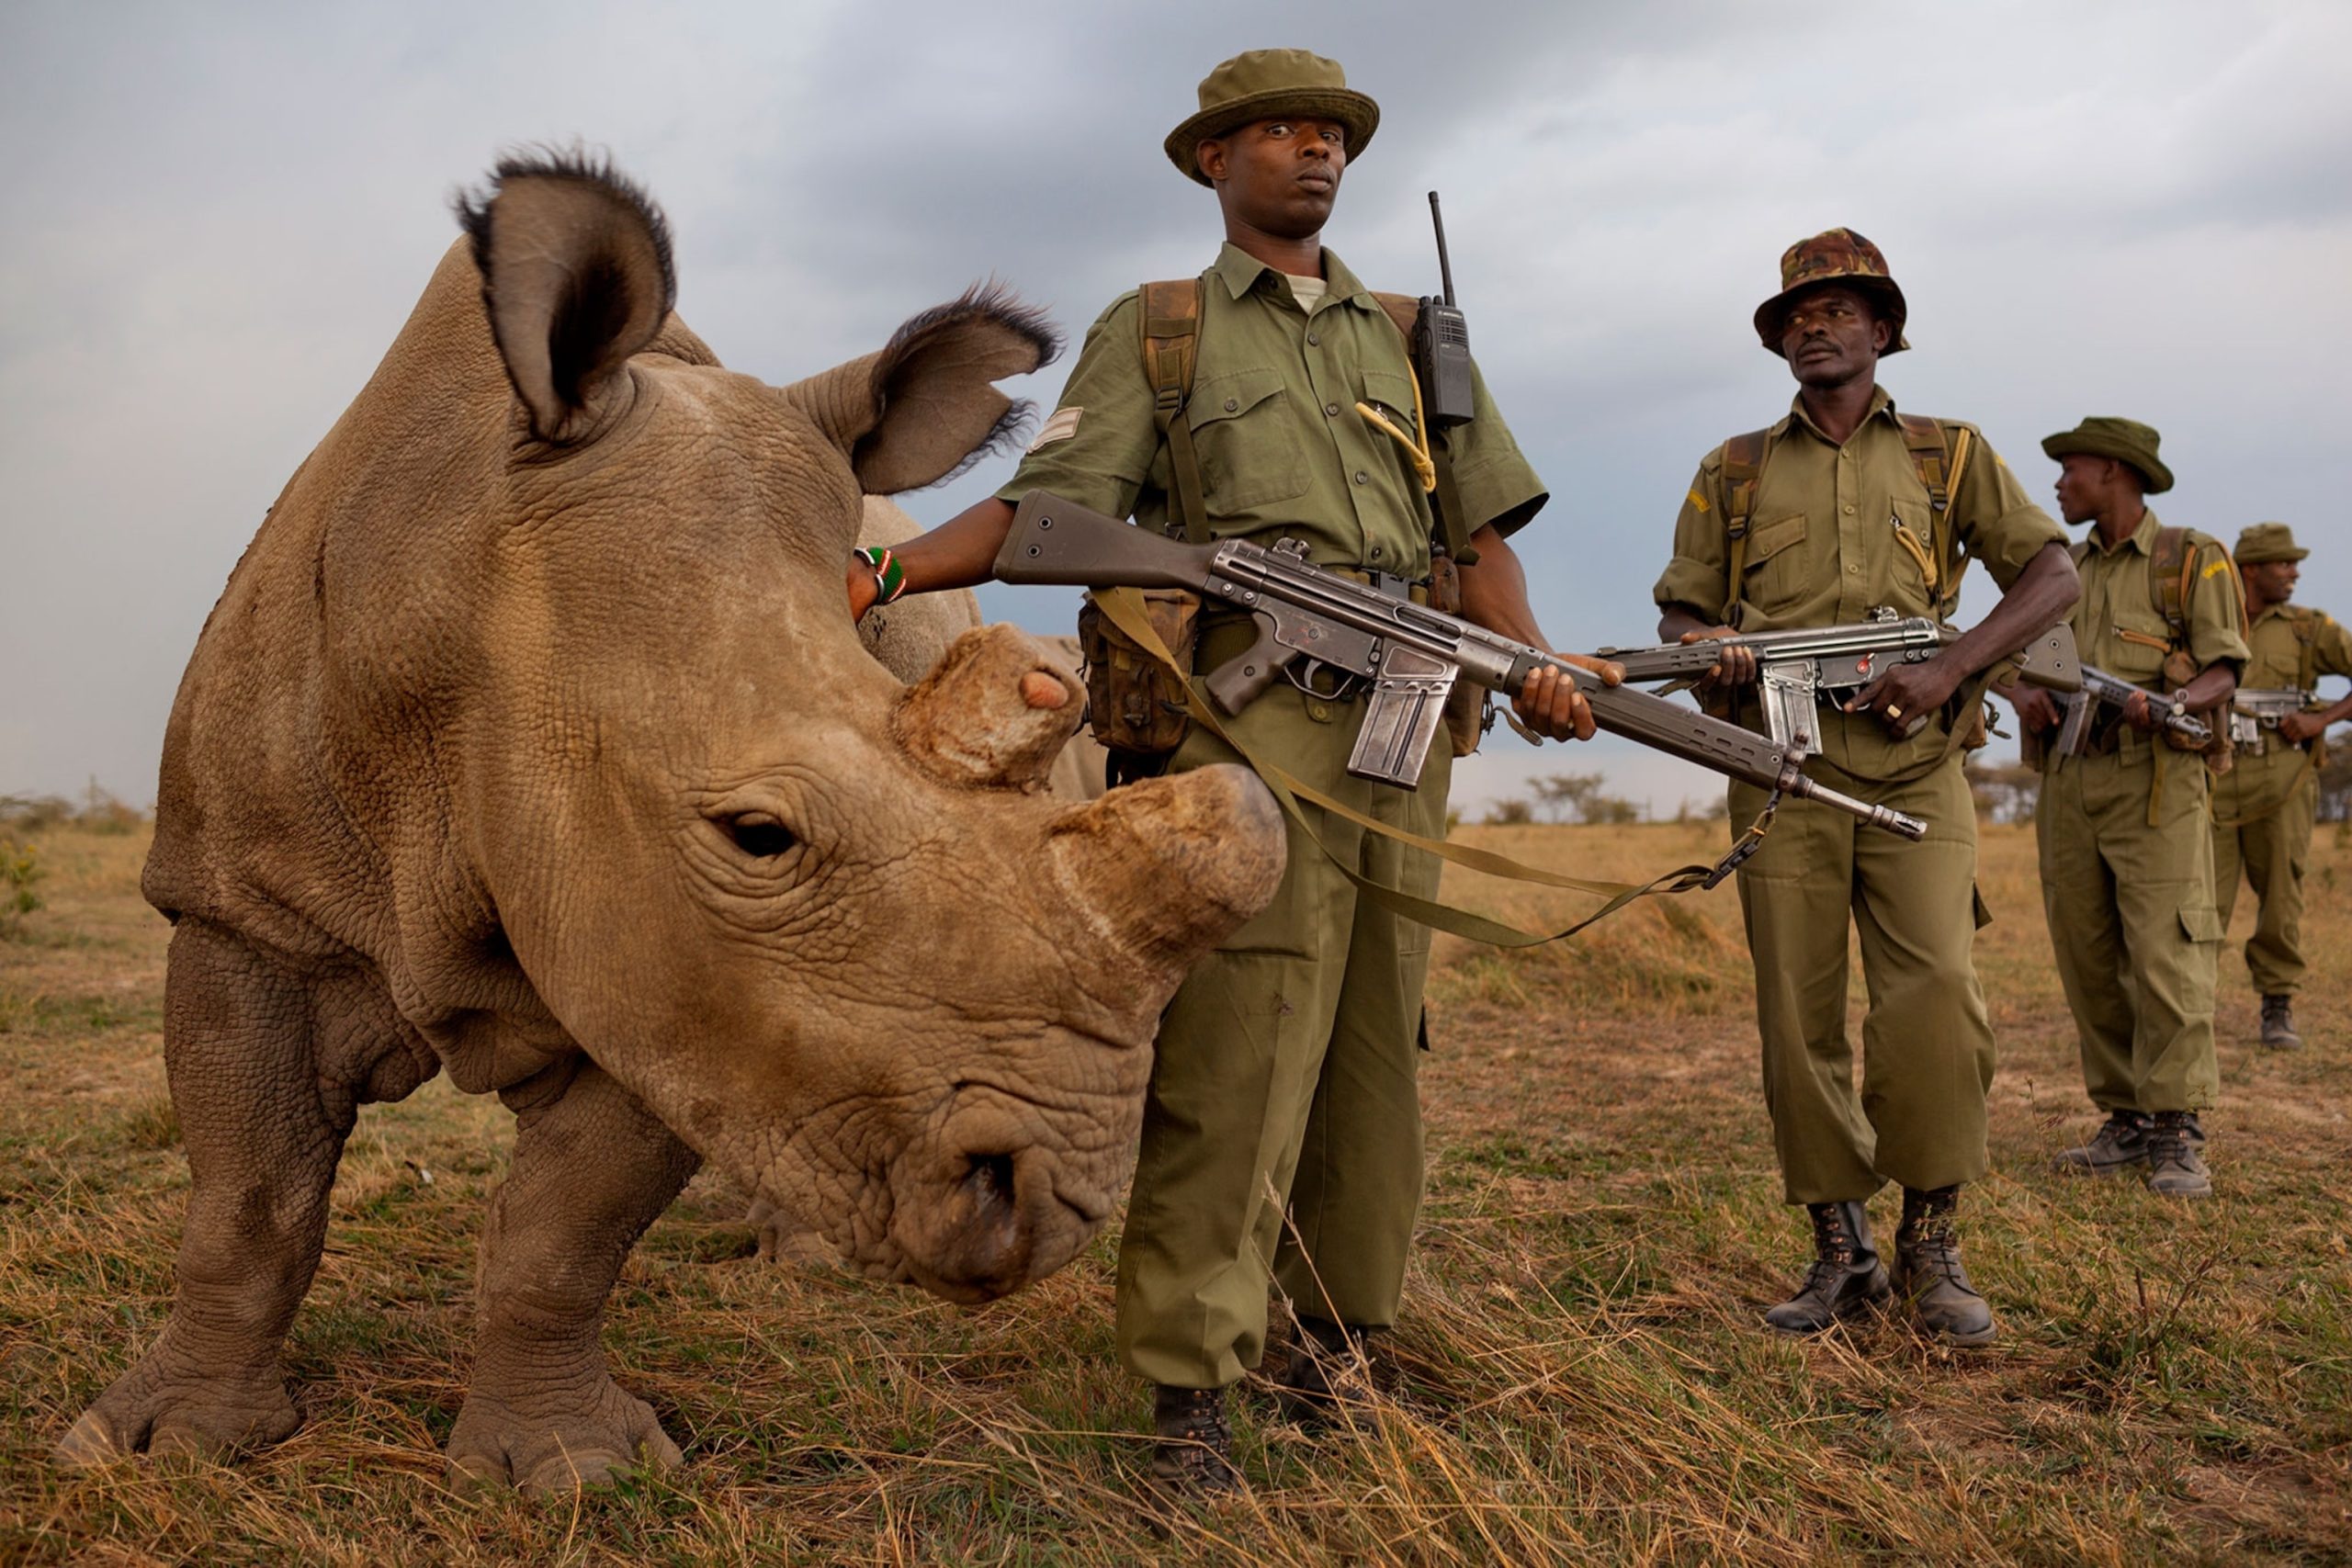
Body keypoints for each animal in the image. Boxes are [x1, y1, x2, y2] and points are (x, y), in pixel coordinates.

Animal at [57, 152, 1282, 1493]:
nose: (1053, 1204)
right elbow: (248, 1199)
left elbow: (564, 1233)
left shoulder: (668, 960)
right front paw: (162, 1448)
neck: (459, 575)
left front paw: (574, 1472)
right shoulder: (243, 906)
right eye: (758, 835)